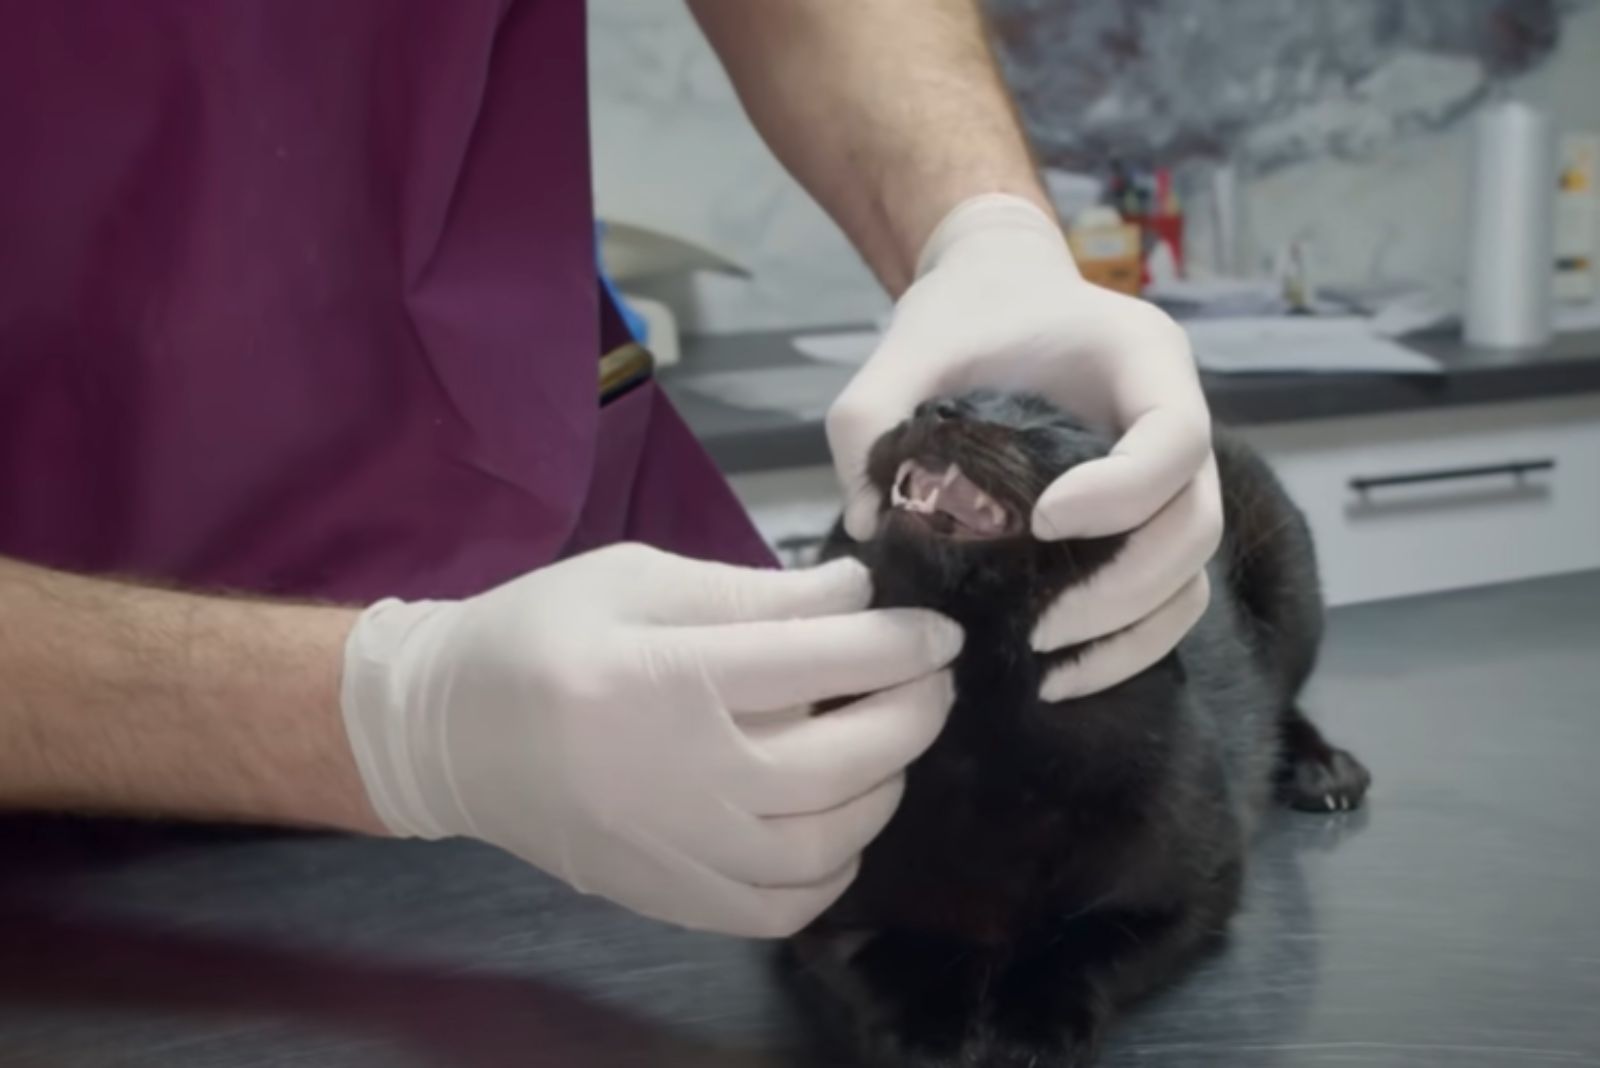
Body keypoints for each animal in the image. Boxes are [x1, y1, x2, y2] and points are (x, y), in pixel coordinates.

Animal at [780, 391, 1369, 1068]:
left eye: (1049, 426)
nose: (936, 405)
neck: (985, 736)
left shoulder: (1192, 888)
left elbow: (1084, 944)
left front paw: (1034, 1024)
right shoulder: (816, 896)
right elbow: (888, 950)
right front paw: (927, 1030)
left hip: (1288, 574)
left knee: (1280, 695)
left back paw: (1322, 769)